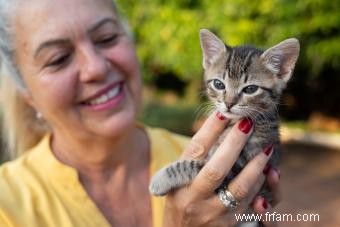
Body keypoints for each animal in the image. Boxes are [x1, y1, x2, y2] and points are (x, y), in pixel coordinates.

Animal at [150, 28, 298, 200]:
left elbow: (192, 165)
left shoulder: (237, 166)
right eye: (218, 84)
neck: (232, 124)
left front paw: (160, 179)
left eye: (250, 89)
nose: (228, 103)